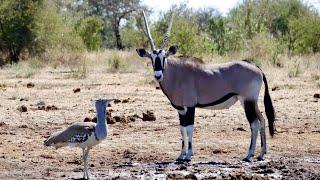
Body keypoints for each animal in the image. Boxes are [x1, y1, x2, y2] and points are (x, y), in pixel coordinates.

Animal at [136, 11, 276, 163]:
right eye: (151, 58)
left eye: (164, 57)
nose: (158, 75)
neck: (177, 73)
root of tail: (256, 68)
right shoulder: (180, 109)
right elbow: (182, 129)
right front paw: (180, 155)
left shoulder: (190, 107)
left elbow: (189, 129)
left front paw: (188, 156)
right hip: (251, 102)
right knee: (262, 120)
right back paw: (261, 153)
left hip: (247, 101)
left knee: (254, 124)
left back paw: (249, 154)